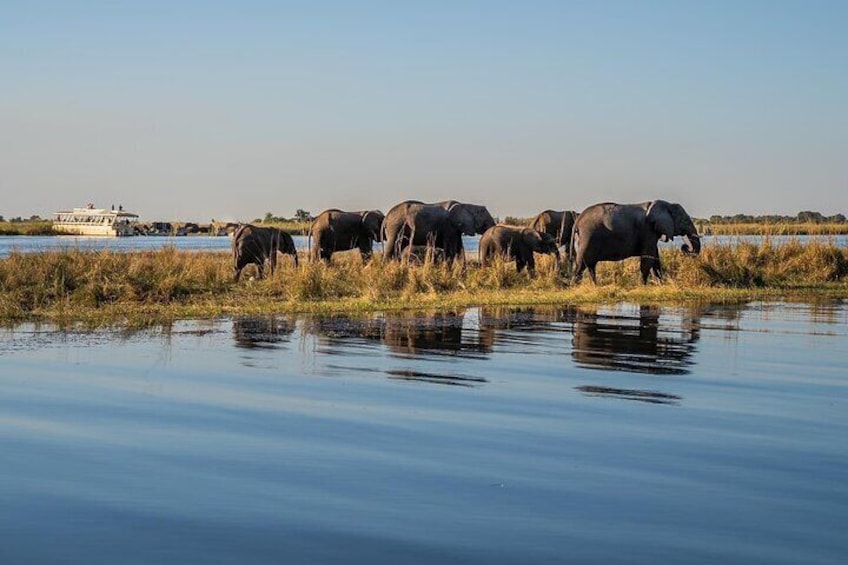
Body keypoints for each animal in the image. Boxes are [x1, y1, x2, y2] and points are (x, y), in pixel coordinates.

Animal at [568, 200, 704, 284]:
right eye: (685, 221)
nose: (685, 247)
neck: (666, 204)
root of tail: (577, 221)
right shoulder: (647, 230)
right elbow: (648, 260)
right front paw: (643, 285)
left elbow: (655, 259)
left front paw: (660, 284)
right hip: (587, 238)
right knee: (582, 266)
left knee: (588, 266)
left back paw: (593, 286)